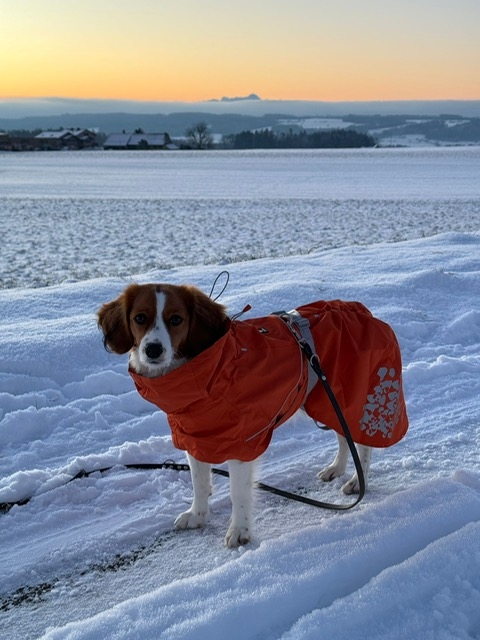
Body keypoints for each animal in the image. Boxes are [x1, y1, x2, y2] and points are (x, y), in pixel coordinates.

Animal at [98, 282, 408, 548]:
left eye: (176, 320)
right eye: (140, 318)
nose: (153, 349)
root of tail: (362, 311)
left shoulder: (243, 442)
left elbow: (238, 492)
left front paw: (239, 530)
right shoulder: (193, 436)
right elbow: (199, 483)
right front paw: (198, 515)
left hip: (355, 400)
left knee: (363, 445)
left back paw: (357, 481)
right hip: (327, 401)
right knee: (344, 438)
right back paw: (338, 468)